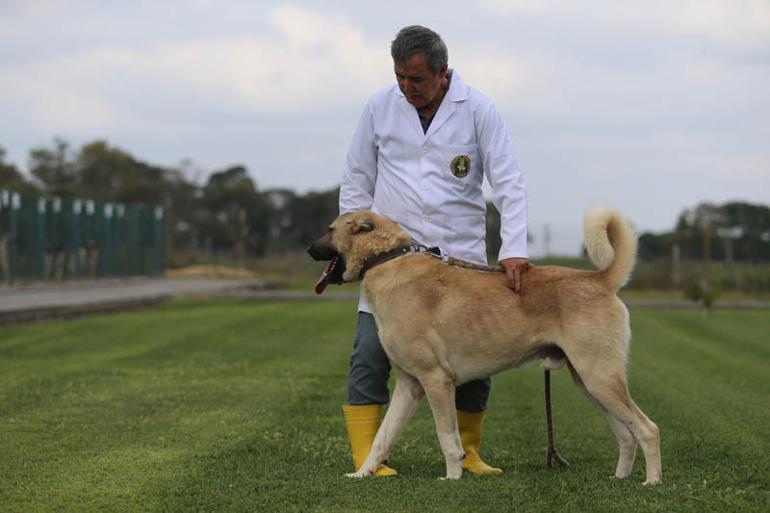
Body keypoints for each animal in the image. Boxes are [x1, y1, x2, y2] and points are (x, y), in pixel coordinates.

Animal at [306, 207, 660, 484]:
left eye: (330, 230)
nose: (309, 248)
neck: (386, 259)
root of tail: (598, 280)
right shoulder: (409, 386)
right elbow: (382, 437)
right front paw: (363, 473)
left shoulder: (436, 381)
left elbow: (448, 439)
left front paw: (452, 478)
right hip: (589, 383)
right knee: (627, 435)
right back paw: (620, 477)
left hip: (600, 379)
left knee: (647, 428)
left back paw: (651, 482)